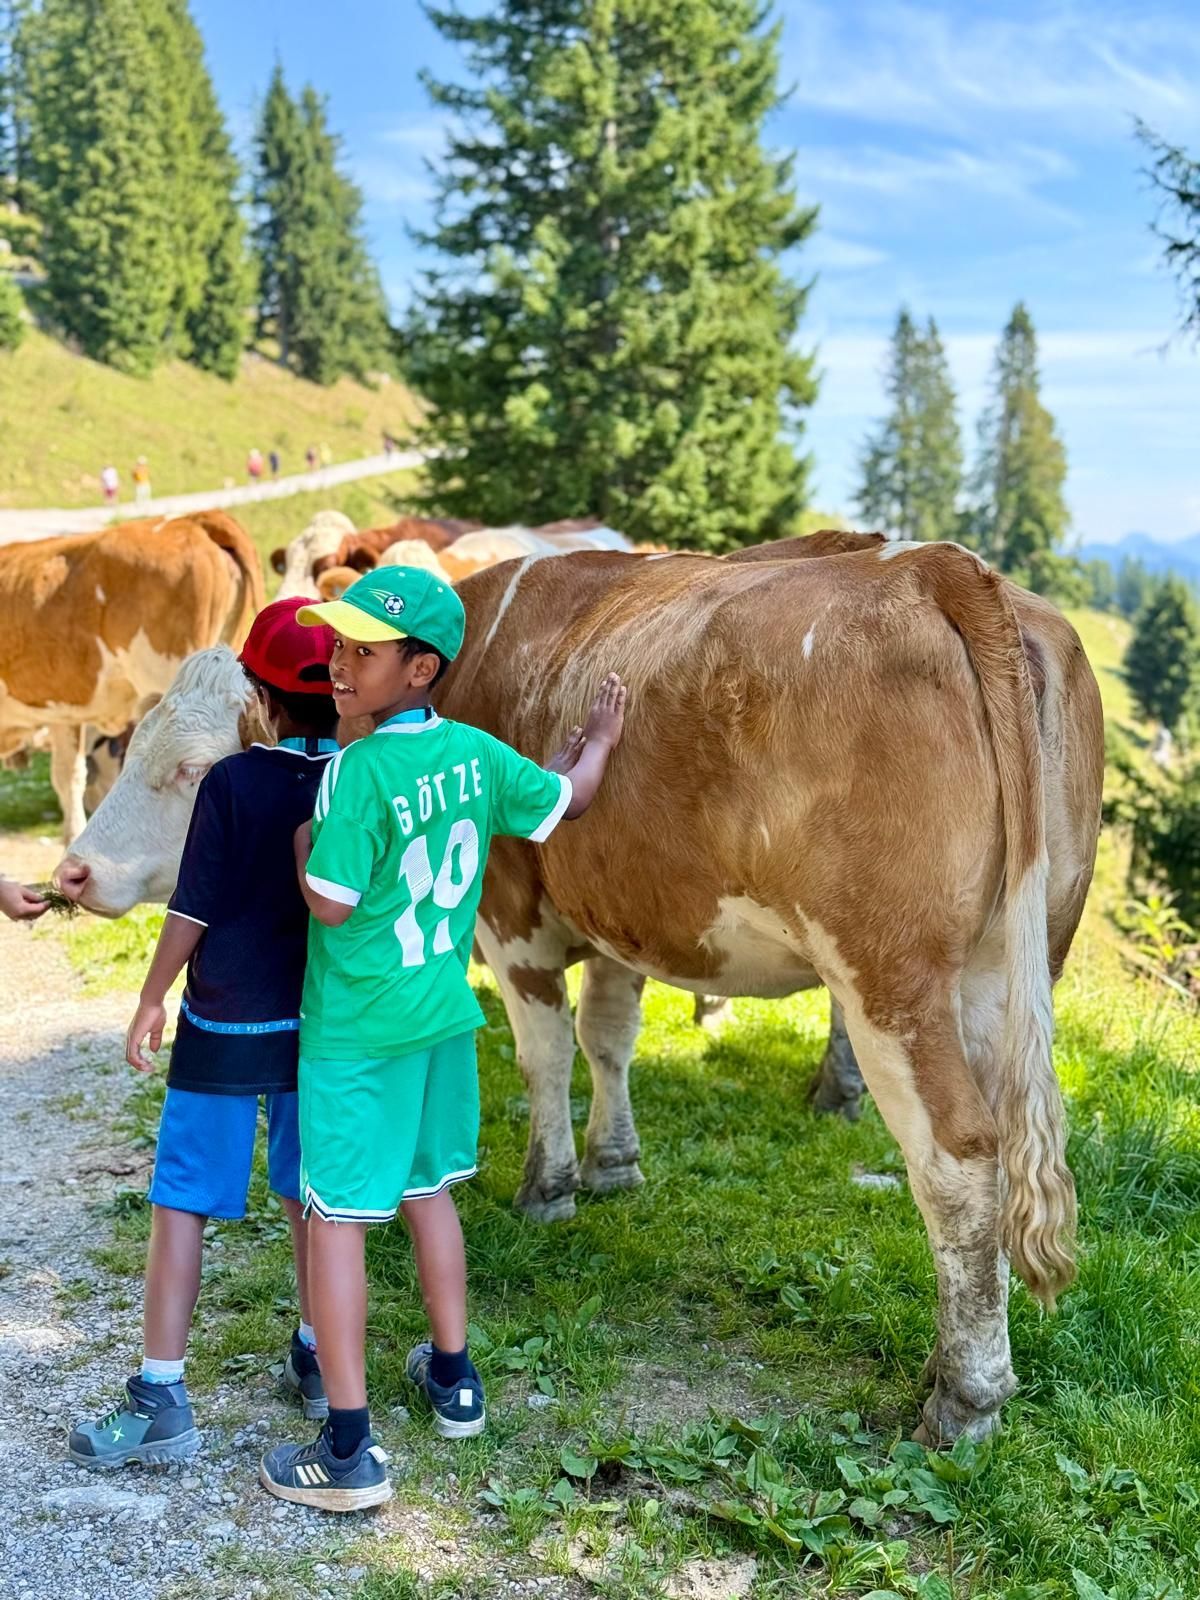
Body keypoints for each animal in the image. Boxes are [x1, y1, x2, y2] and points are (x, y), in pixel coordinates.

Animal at [55, 535, 1104, 1444]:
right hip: (1009, 968)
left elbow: (547, 1050)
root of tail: (937, 568)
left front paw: (550, 1186)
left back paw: (964, 1398)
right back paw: (947, 1363)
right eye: (131, 747)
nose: (73, 872)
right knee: (999, 1143)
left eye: (193, 772)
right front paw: (614, 1166)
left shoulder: (513, 910)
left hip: (888, 976)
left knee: (959, 1157)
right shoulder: (620, 908)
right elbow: (608, 1033)